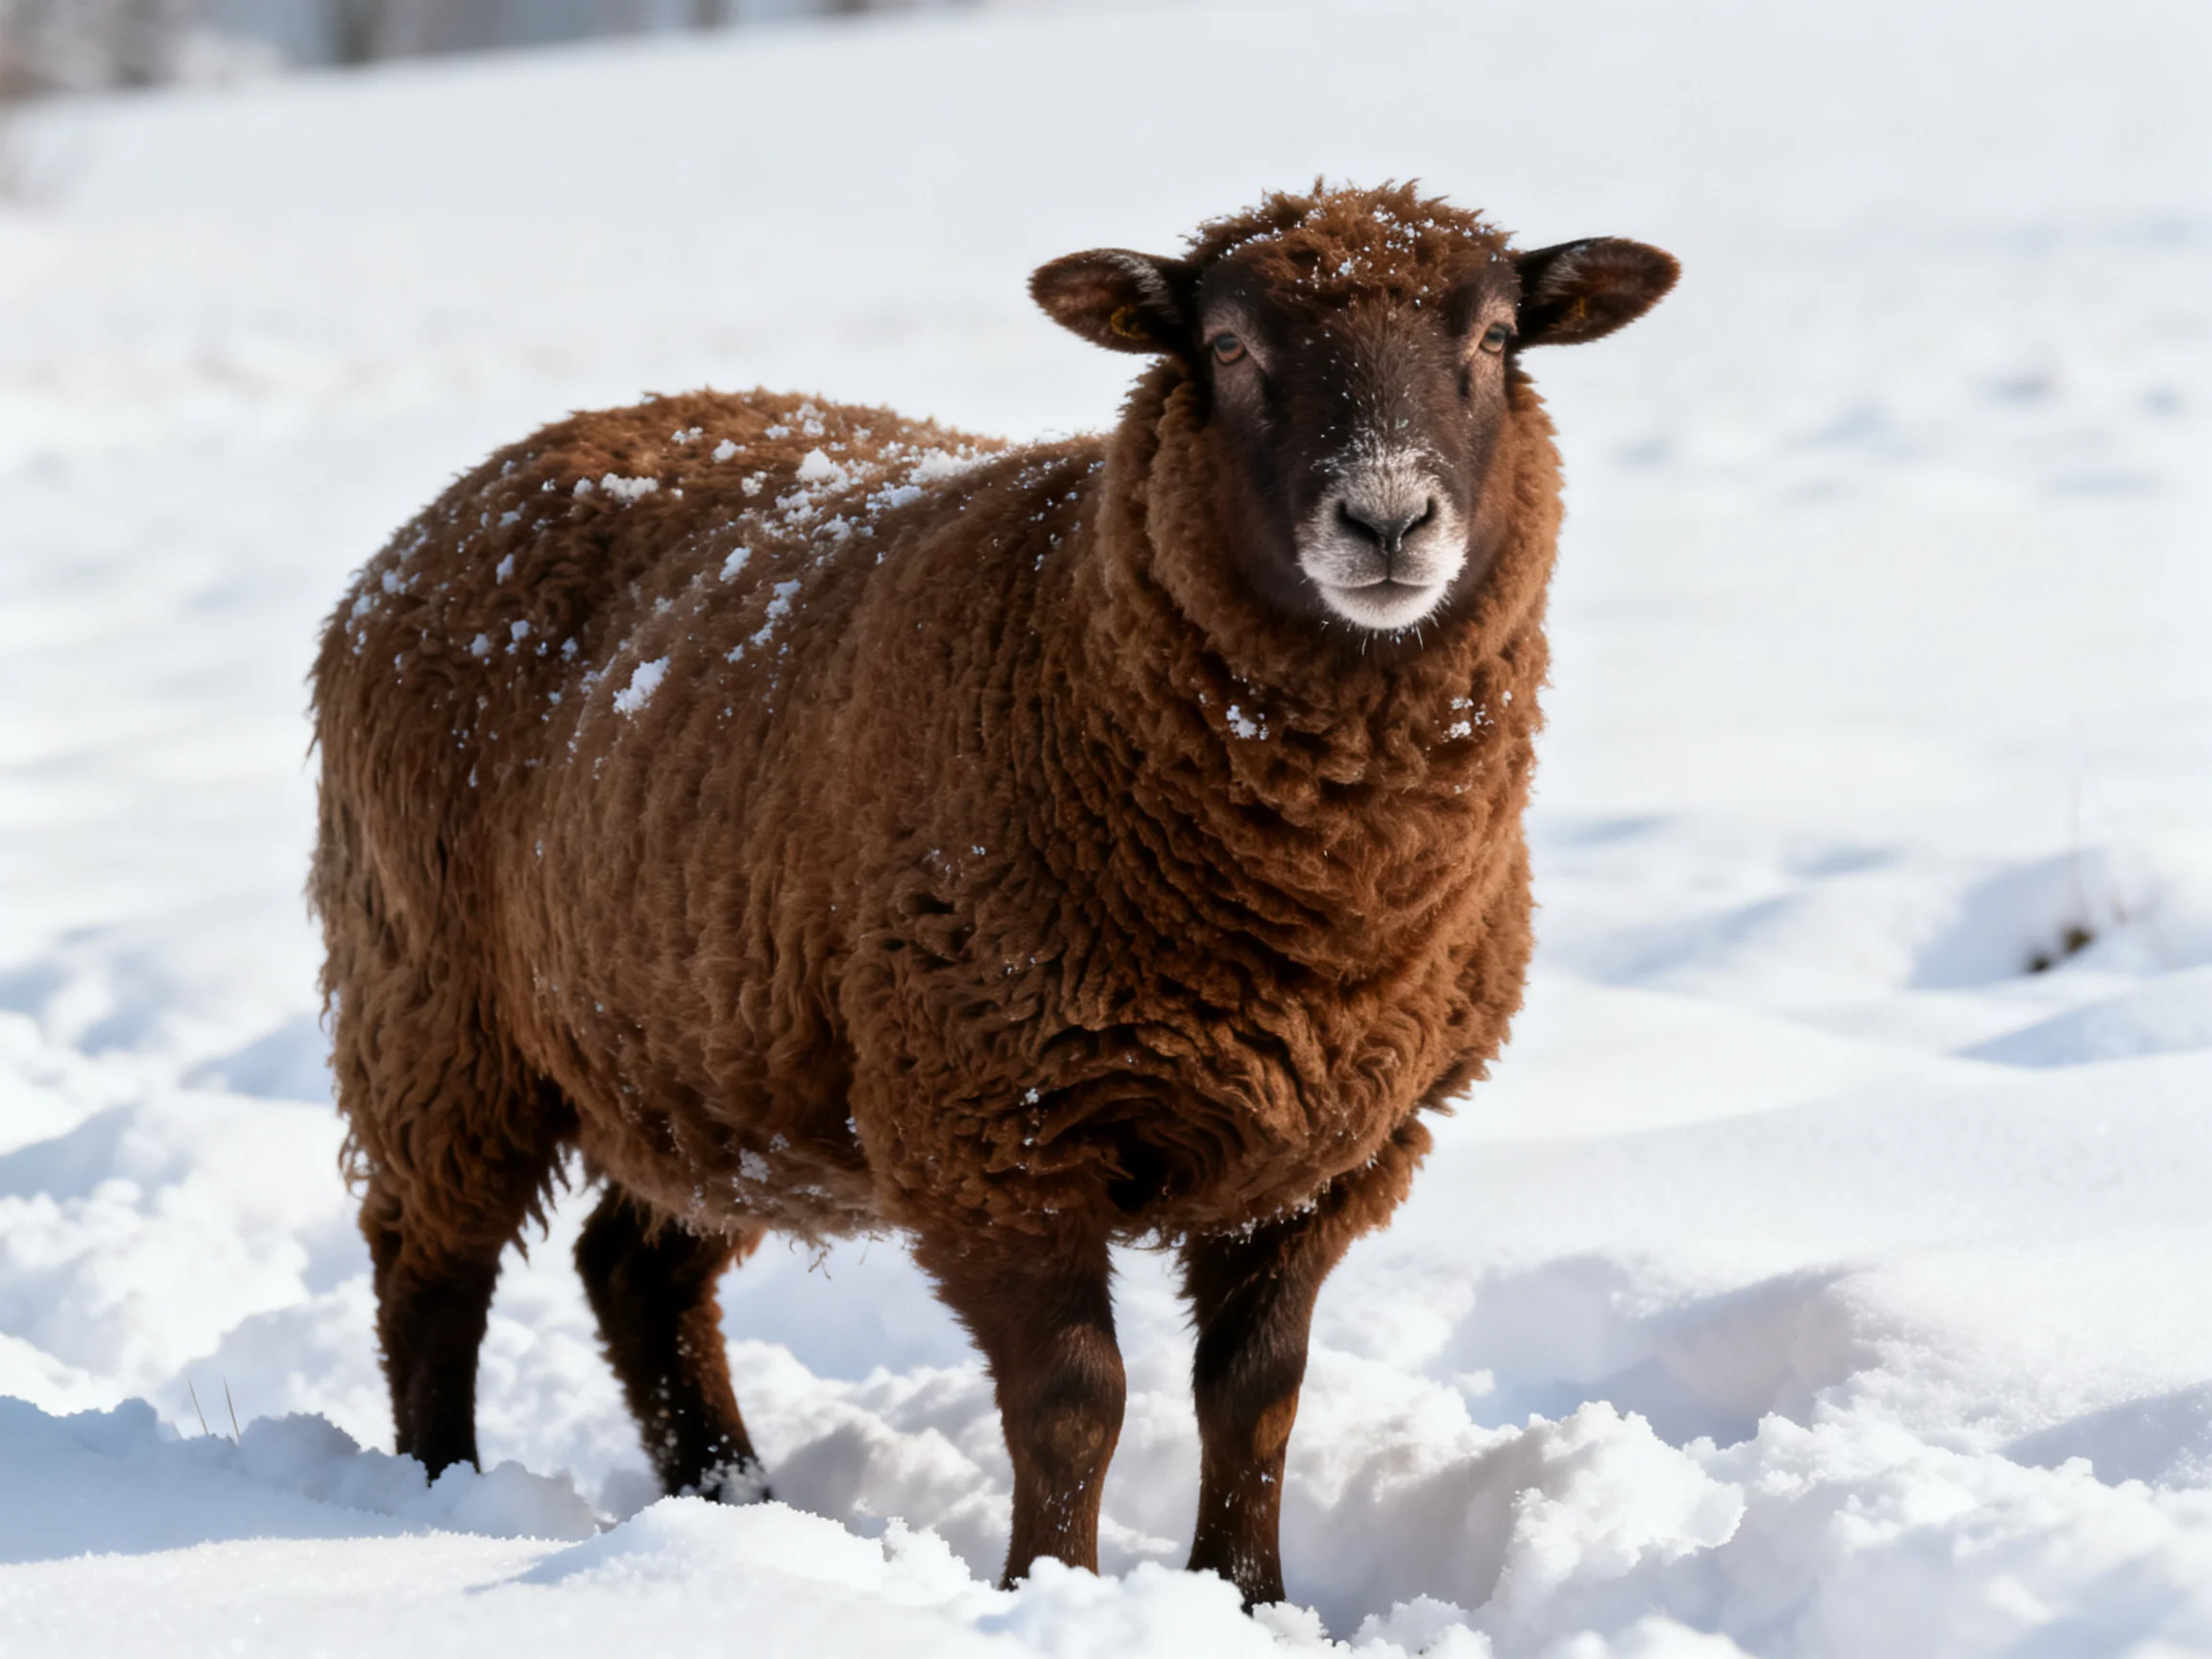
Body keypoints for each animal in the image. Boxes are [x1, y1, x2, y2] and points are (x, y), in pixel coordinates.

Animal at [310, 181, 1677, 1607]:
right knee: (428, 1267)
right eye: (1229, 345)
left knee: (634, 1270)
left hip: (712, 1061)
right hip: (434, 1003)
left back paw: (732, 1504)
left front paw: (1248, 1598)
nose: (1389, 521)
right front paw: (1051, 1593)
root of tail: (485, 482)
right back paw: (432, 1503)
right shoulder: (990, 1123)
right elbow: (1075, 1402)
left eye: (1496, 338)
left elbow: (1258, 1397)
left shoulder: (1331, 1150)